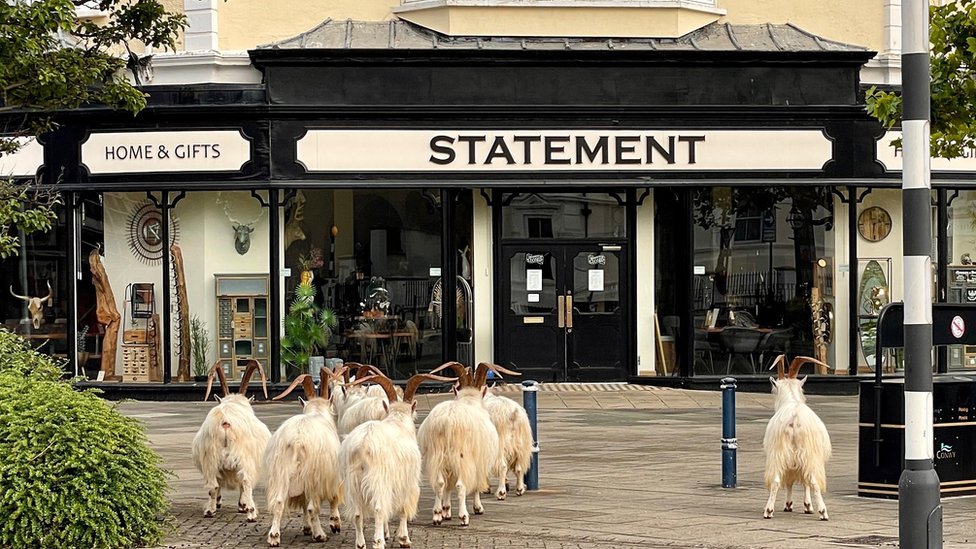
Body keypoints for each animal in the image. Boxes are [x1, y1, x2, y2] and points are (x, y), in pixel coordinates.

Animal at [191, 362, 270, 520]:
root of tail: (225, 422)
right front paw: (242, 505)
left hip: (211, 458)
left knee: (213, 484)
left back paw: (210, 511)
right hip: (244, 457)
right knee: (246, 481)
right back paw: (251, 513)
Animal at [264, 368, 346, 544]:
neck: (317, 413)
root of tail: (297, 439)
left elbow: (302, 502)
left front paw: (307, 528)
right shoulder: (331, 476)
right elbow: (333, 498)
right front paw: (335, 524)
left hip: (281, 472)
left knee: (279, 502)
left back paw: (274, 537)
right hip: (313, 476)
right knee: (312, 507)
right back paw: (320, 535)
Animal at [340, 370, 454, 544]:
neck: (398, 420)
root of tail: (362, 445)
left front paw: (388, 533)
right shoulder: (407, 480)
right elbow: (402, 508)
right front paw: (403, 538)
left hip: (353, 484)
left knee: (358, 513)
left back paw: (361, 544)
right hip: (378, 481)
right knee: (379, 509)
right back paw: (378, 542)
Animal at [416, 362, 504, 524]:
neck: (469, 401)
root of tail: (447, 421)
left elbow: (447, 486)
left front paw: (446, 511)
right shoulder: (478, 461)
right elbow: (475, 485)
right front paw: (478, 508)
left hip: (437, 456)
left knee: (440, 483)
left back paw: (437, 515)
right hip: (462, 457)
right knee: (460, 485)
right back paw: (464, 517)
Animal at [764, 354, 832, 520]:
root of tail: (794, 420)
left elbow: (791, 480)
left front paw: (791, 505)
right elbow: (805, 481)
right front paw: (806, 506)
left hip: (780, 453)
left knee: (777, 480)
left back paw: (769, 511)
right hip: (807, 454)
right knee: (813, 481)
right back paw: (823, 512)